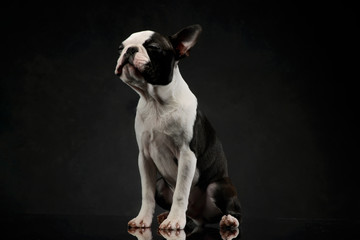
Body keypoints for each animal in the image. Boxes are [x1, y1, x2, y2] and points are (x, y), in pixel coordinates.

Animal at [114, 24, 242, 231]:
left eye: (153, 48)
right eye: (120, 48)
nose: (130, 50)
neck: (155, 103)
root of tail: (201, 217)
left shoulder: (187, 155)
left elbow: (181, 193)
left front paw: (174, 221)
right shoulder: (145, 157)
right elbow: (146, 193)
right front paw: (143, 219)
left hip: (218, 186)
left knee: (233, 211)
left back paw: (228, 220)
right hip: (161, 186)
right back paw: (172, 217)